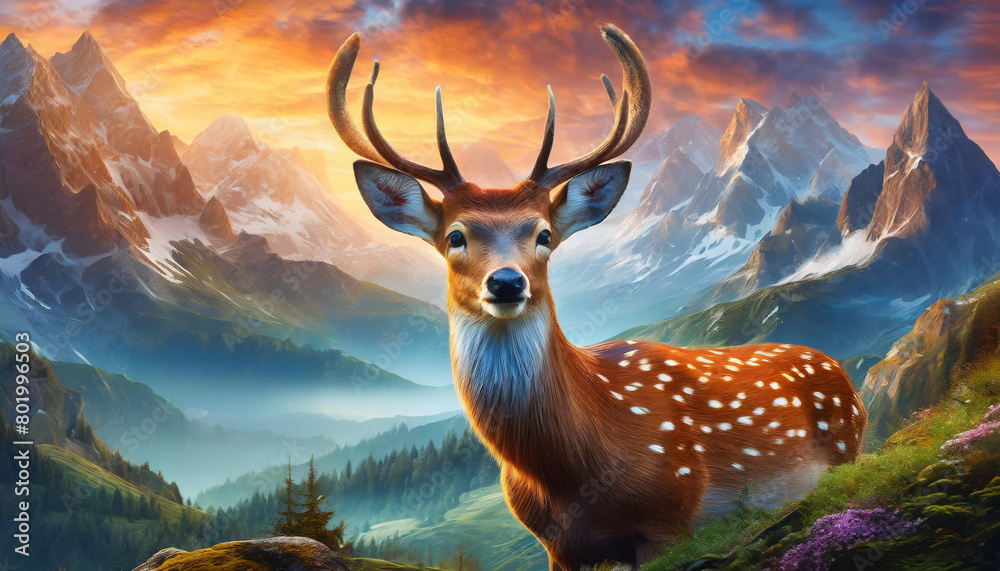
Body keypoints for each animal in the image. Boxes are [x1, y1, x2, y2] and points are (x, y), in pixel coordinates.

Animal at [325, 24, 867, 570]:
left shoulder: (671, 514)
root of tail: (843, 377)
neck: (570, 470)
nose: (507, 282)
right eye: (455, 236)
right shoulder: (556, 546)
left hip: (845, 452)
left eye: (544, 234)